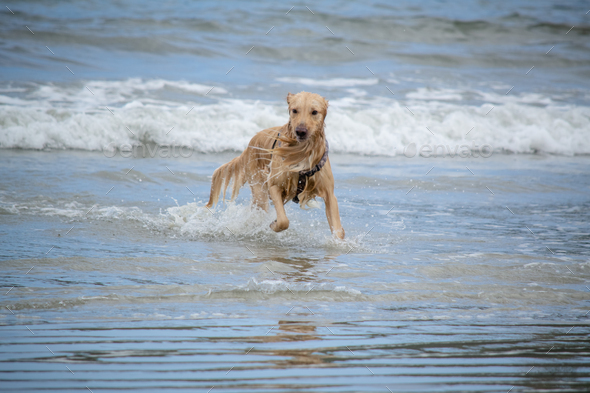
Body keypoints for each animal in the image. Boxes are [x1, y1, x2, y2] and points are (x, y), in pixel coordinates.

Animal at [207, 91, 346, 239]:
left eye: (314, 112)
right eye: (294, 110)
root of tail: (249, 145)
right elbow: (283, 221)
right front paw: (274, 225)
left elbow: (338, 230)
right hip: (259, 189)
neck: (302, 151)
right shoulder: (274, 185)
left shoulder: (329, 194)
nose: (300, 131)